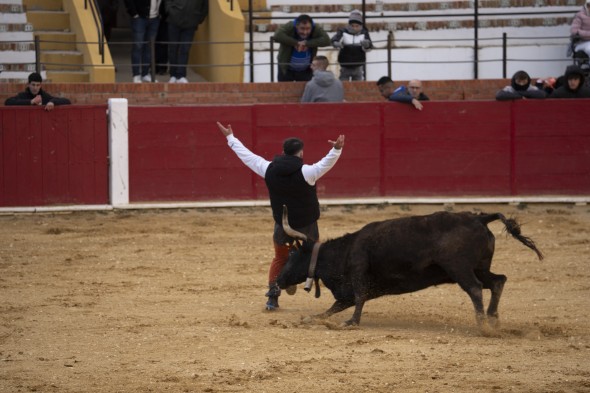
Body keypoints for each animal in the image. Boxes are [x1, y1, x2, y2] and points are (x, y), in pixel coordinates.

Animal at [278, 208, 544, 328]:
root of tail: (479, 217)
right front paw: (311, 318)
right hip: (480, 267)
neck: (345, 250)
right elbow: (334, 307)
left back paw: (482, 325)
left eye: (292, 255)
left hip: (459, 268)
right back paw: (492, 318)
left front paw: (352, 322)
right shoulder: (347, 291)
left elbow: (357, 298)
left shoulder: (357, 275)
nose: (278, 281)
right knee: (498, 280)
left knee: (476, 288)